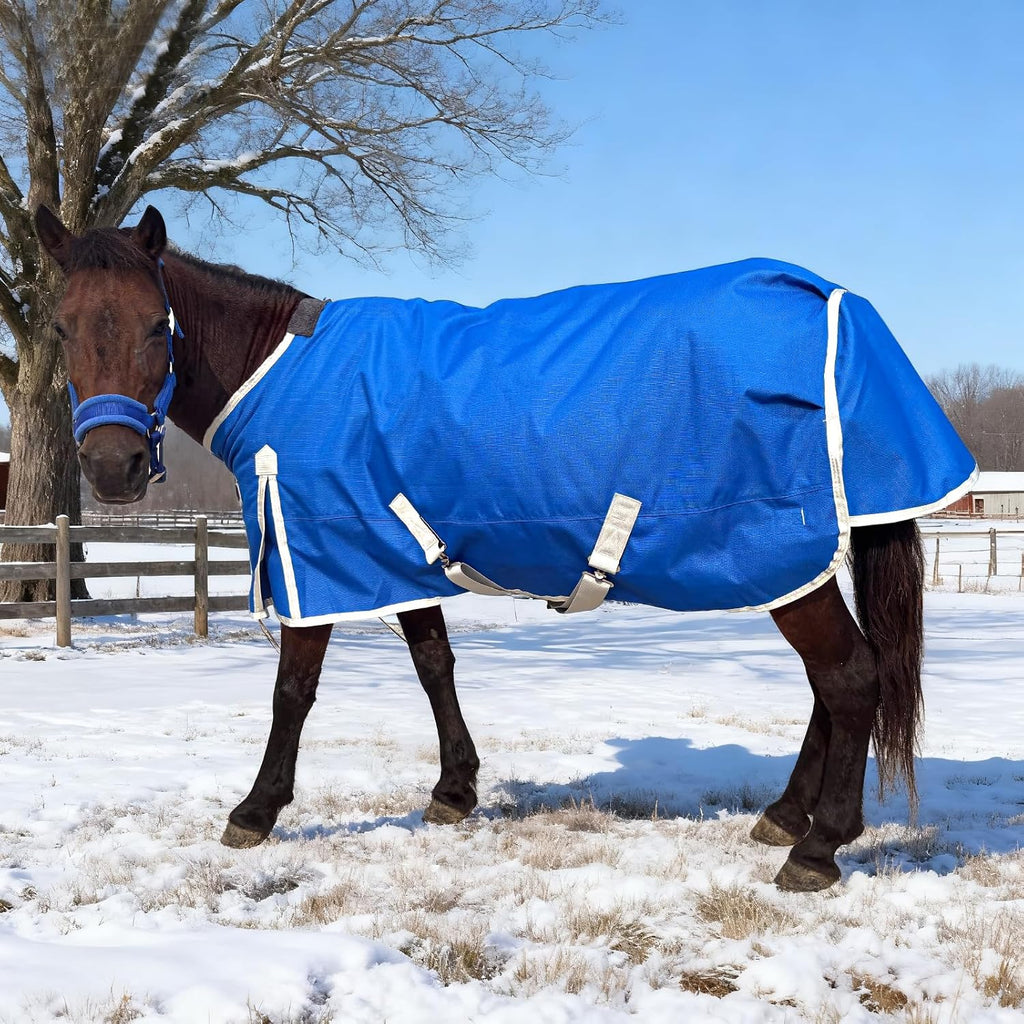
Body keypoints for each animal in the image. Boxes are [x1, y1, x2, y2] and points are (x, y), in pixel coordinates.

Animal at [33, 204, 977, 892]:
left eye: (155, 326)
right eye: (62, 328)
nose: (112, 467)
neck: (284, 372)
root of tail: (831, 301)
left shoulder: (320, 553)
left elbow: (291, 692)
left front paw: (256, 811)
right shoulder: (394, 555)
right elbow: (434, 665)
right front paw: (454, 791)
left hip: (776, 550)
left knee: (849, 677)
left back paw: (817, 849)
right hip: (794, 563)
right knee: (833, 684)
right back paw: (786, 816)